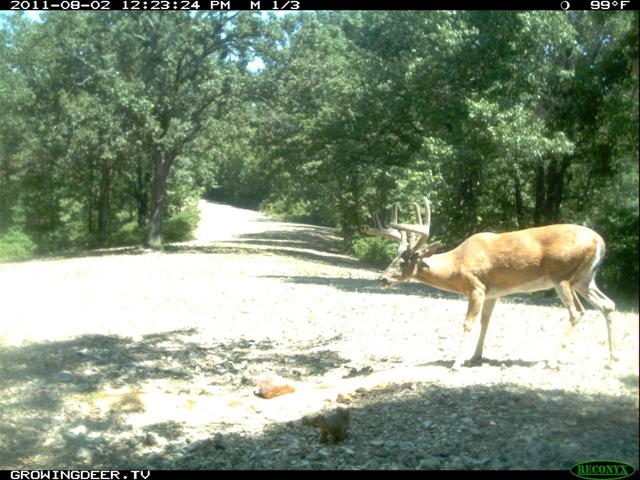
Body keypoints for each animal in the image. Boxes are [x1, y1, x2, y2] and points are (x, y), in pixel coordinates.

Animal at [368, 197, 616, 370]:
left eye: (405, 260)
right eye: (394, 257)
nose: (383, 278)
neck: (457, 264)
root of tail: (600, 241)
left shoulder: (476, 287)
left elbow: (468, 323)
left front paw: (457, 363)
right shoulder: (493, 293)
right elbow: (485, 322)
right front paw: (475, 357)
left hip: (562, 276)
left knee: (577, 312)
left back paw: (550, 361)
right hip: (585, 279)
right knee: (608, 305)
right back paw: (612, 360)